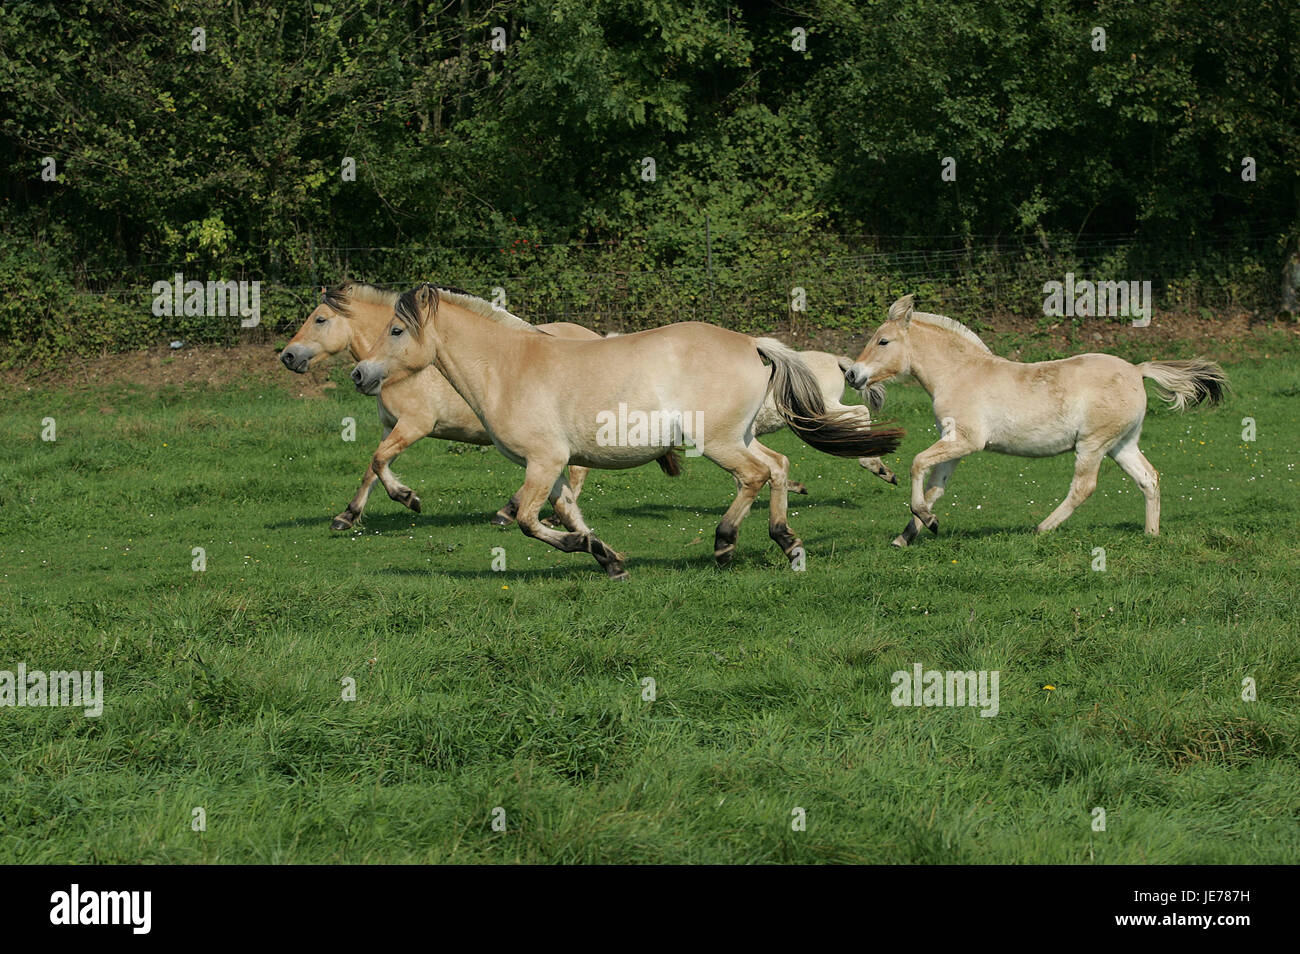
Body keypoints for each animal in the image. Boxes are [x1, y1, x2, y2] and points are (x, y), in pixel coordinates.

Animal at [351, 283, 905, 579]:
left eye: (396, 330)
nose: (360, 375)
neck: (510, 367)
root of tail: (753, 344)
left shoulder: (543, 461)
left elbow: (530, 521)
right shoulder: (554, 466)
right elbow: (566, 513)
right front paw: (608, 558)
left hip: (719, 442)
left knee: (754, 476)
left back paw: (726, 543)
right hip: (740, 436)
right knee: (779, 467)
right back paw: (788, 543)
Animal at [842, 294, 1229, 546]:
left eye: (883, 341)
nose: (852, 375)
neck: (960, 373)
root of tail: (1137, 370)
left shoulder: (967, 440)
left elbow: (917, 464)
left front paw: (926, 522)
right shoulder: (954, 444)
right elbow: (935, 488)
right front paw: (911, 533)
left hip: (1093, 444)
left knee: (1084, 487)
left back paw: (1042, 529)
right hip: (1122, 444)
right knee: (1148, 478)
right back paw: (1151, 535)